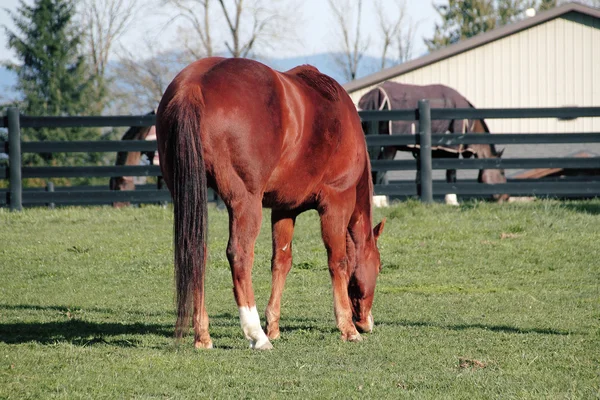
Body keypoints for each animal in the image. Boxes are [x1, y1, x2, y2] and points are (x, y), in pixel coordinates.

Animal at [157, 57, 386, 350]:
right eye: (378, 266)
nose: (367, 322)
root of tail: (194, 85)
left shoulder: (284, 209)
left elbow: (282, 261)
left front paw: (274, 325)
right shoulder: (336, 203)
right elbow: (339, 261)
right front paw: (347, 328)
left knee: (196, 253)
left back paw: (204, 335)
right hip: (245, 203)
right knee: (240, 255)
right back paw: (256, 334)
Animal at [358, 82, 508, 206]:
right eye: (501, 172)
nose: (505, 197)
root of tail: (375, 95)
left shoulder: (420, 153)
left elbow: (419, 177)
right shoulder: (452, 149)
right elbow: (451, 174)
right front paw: (452, 201)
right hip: (389, 147)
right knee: (380, 170)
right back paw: (379, 201)